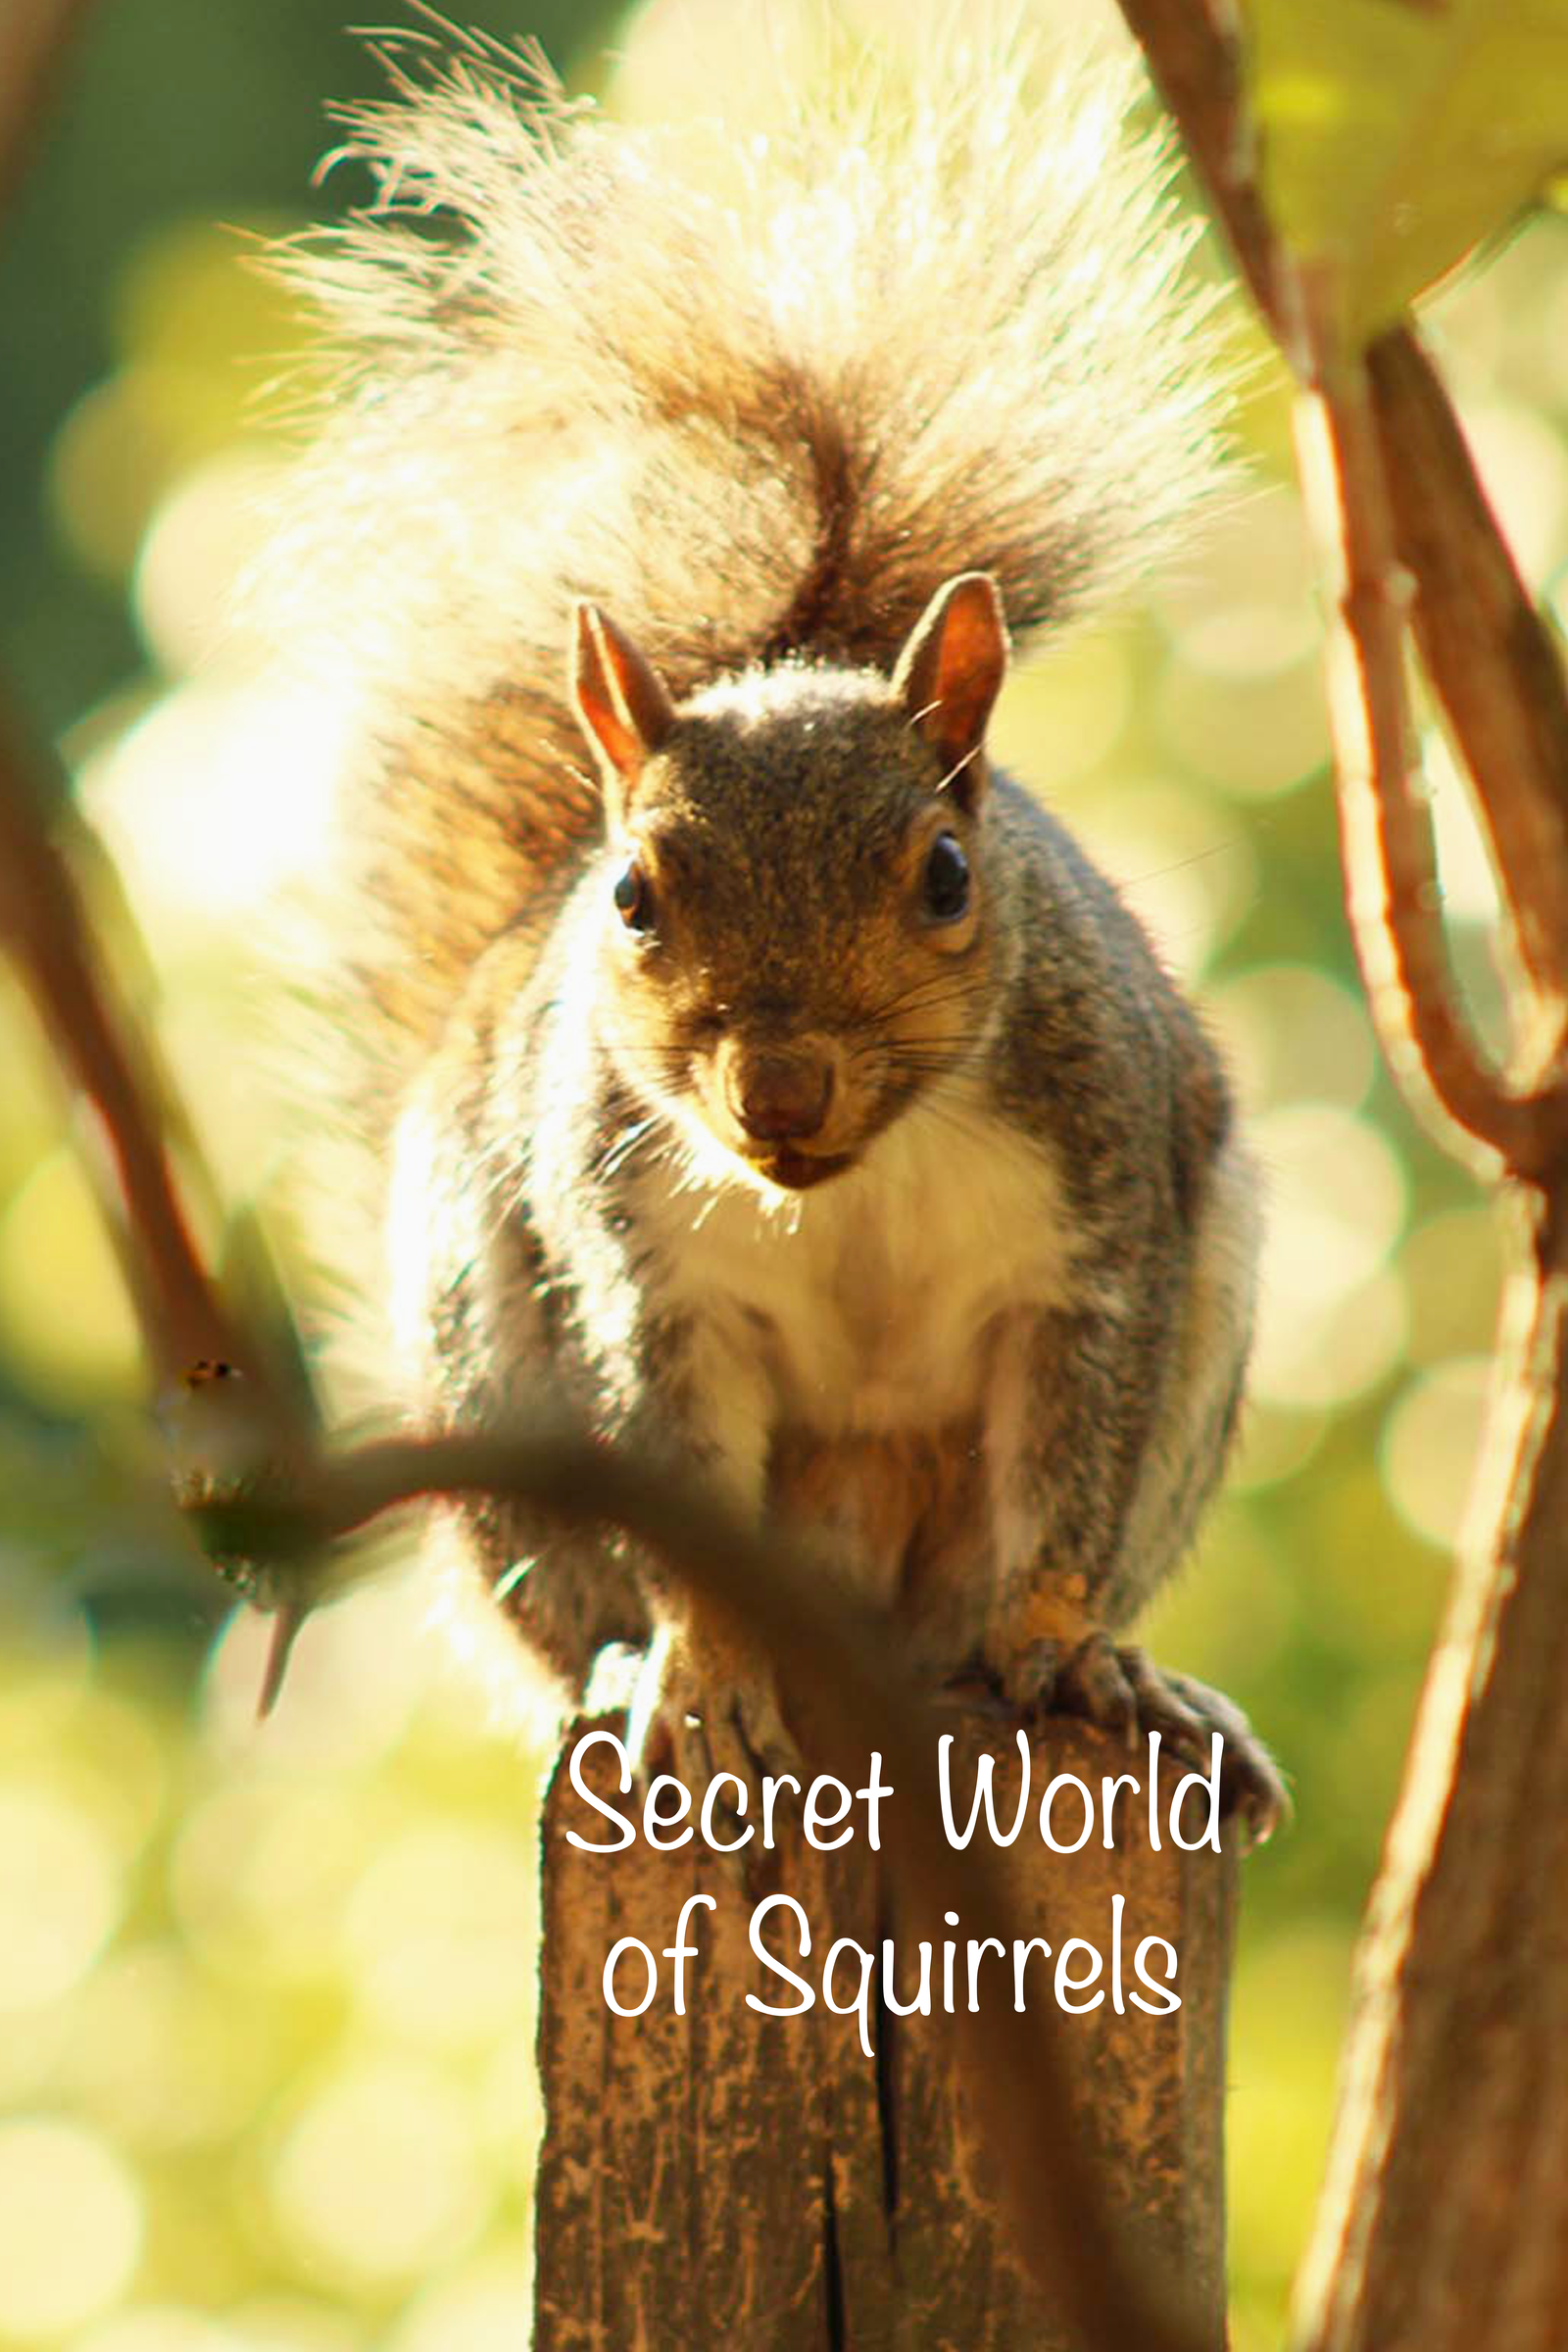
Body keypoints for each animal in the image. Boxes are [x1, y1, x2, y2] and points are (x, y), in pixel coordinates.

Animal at [265, 17, 1285, 1836]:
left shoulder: (1099, 1240)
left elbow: (1069, 1476)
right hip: (490, 1375)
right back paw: (618, 1677)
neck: (854, 1184)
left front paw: (1067, 1653)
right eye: (631, 896)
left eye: (948, 875)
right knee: (575, 1612)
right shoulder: (649, 1285)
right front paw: (706, 1682)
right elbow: (685, 1491)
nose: (782, 1090)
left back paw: (1144, 1689)